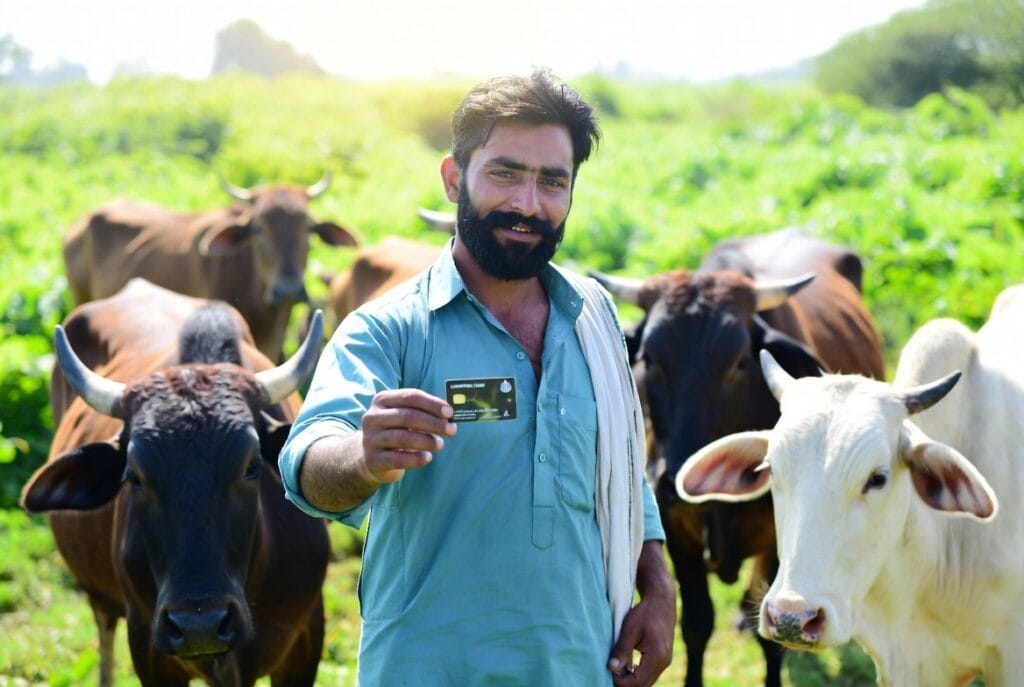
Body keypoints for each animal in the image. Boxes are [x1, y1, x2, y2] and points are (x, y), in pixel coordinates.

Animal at [21, 278, 330, 687]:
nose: (200, 625)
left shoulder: (305, 642)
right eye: (134, 476)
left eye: (251, 466)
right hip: (99, 596)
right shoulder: (149, 648)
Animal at [591, 227, 885, 687]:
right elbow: (696, 622)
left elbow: (774, 634)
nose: (677, 480)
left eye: (739, 362)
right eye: (650, 359)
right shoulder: (675, 526)